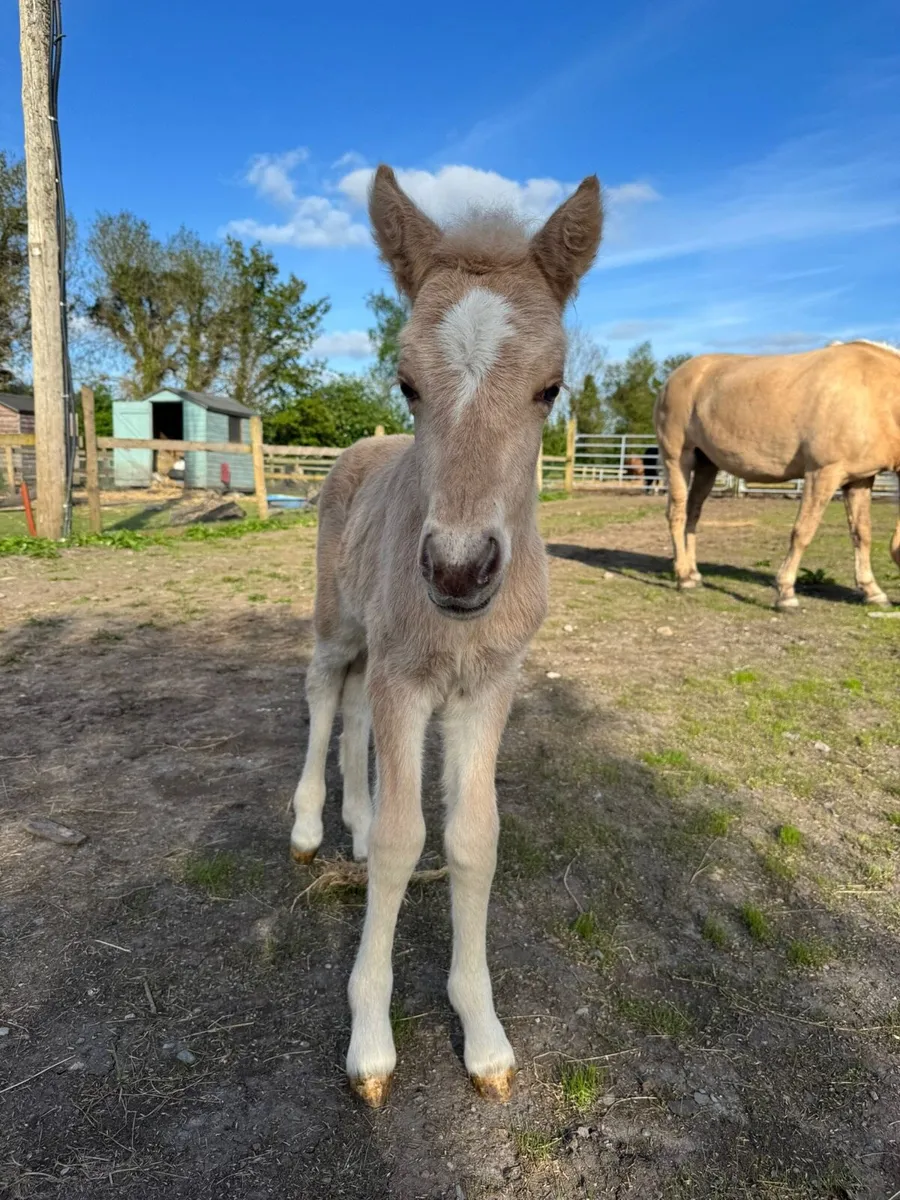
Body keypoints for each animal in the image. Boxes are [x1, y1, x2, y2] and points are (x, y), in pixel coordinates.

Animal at [290, 165, 603, 1106]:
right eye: (406, 382)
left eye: (550, 387)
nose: (460, 571)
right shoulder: (407, 676)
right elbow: (405, 842)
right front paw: (370, 1041)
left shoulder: (486, 686)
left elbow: (471, 838)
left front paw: (485, 1035)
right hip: (338, 619)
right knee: (324, 695)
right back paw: (310, 828)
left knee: (353, 712)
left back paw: (351, 821)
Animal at [654, 342, 900, 609]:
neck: (874, 393)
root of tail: (673, 378)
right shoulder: (822, 473)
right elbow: (803, 531)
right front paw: (785, 593)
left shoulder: (860, 480)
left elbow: (862, 533)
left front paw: (873, 592)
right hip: (678, 459)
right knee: (676, 513)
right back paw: (683, 577)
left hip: (706, 465)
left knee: (693, 513)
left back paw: (693, 572)